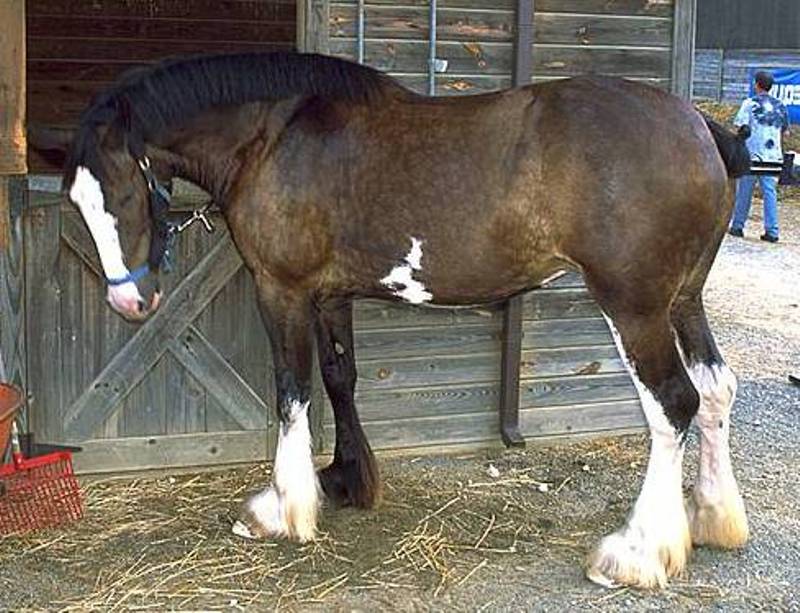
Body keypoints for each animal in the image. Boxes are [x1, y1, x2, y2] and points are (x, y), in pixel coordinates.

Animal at [32, 52, 756, 588]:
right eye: (76, 203)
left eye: (126, 195)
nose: (130, 304)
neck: (273, 136)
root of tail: (703, 127)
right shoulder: (330, 294)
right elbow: (338, 379)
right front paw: (346, 479)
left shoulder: (281, 290)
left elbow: (291, 391)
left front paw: (281, 508)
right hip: (682, 301)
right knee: (716, 390)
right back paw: (713, 517)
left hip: (634, 307)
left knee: (673, 403)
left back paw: (637, 552)